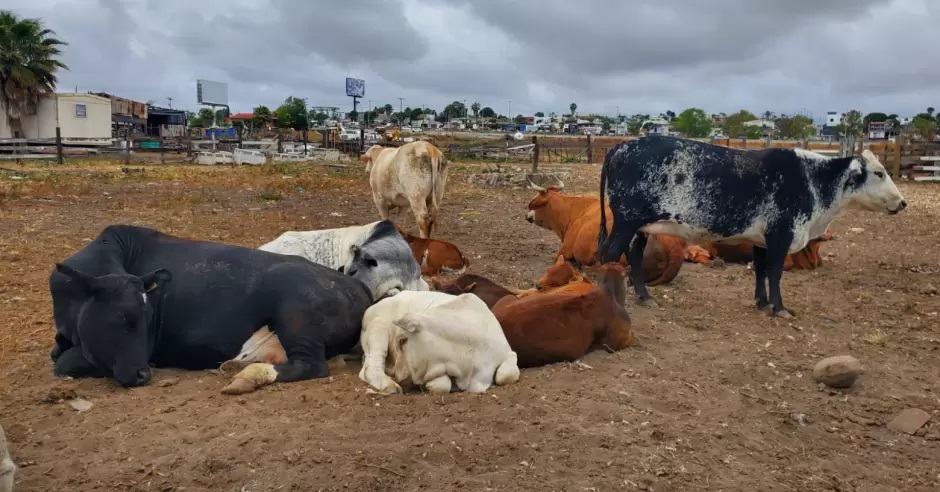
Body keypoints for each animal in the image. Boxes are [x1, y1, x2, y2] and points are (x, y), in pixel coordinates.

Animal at [51, 225, 372, 394]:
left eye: (148, 318)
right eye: (122, 317)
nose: (143, 373)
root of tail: (357, 285)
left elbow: (63, 363)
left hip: (295, 313)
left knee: (311, 365)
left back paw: (246, 377)